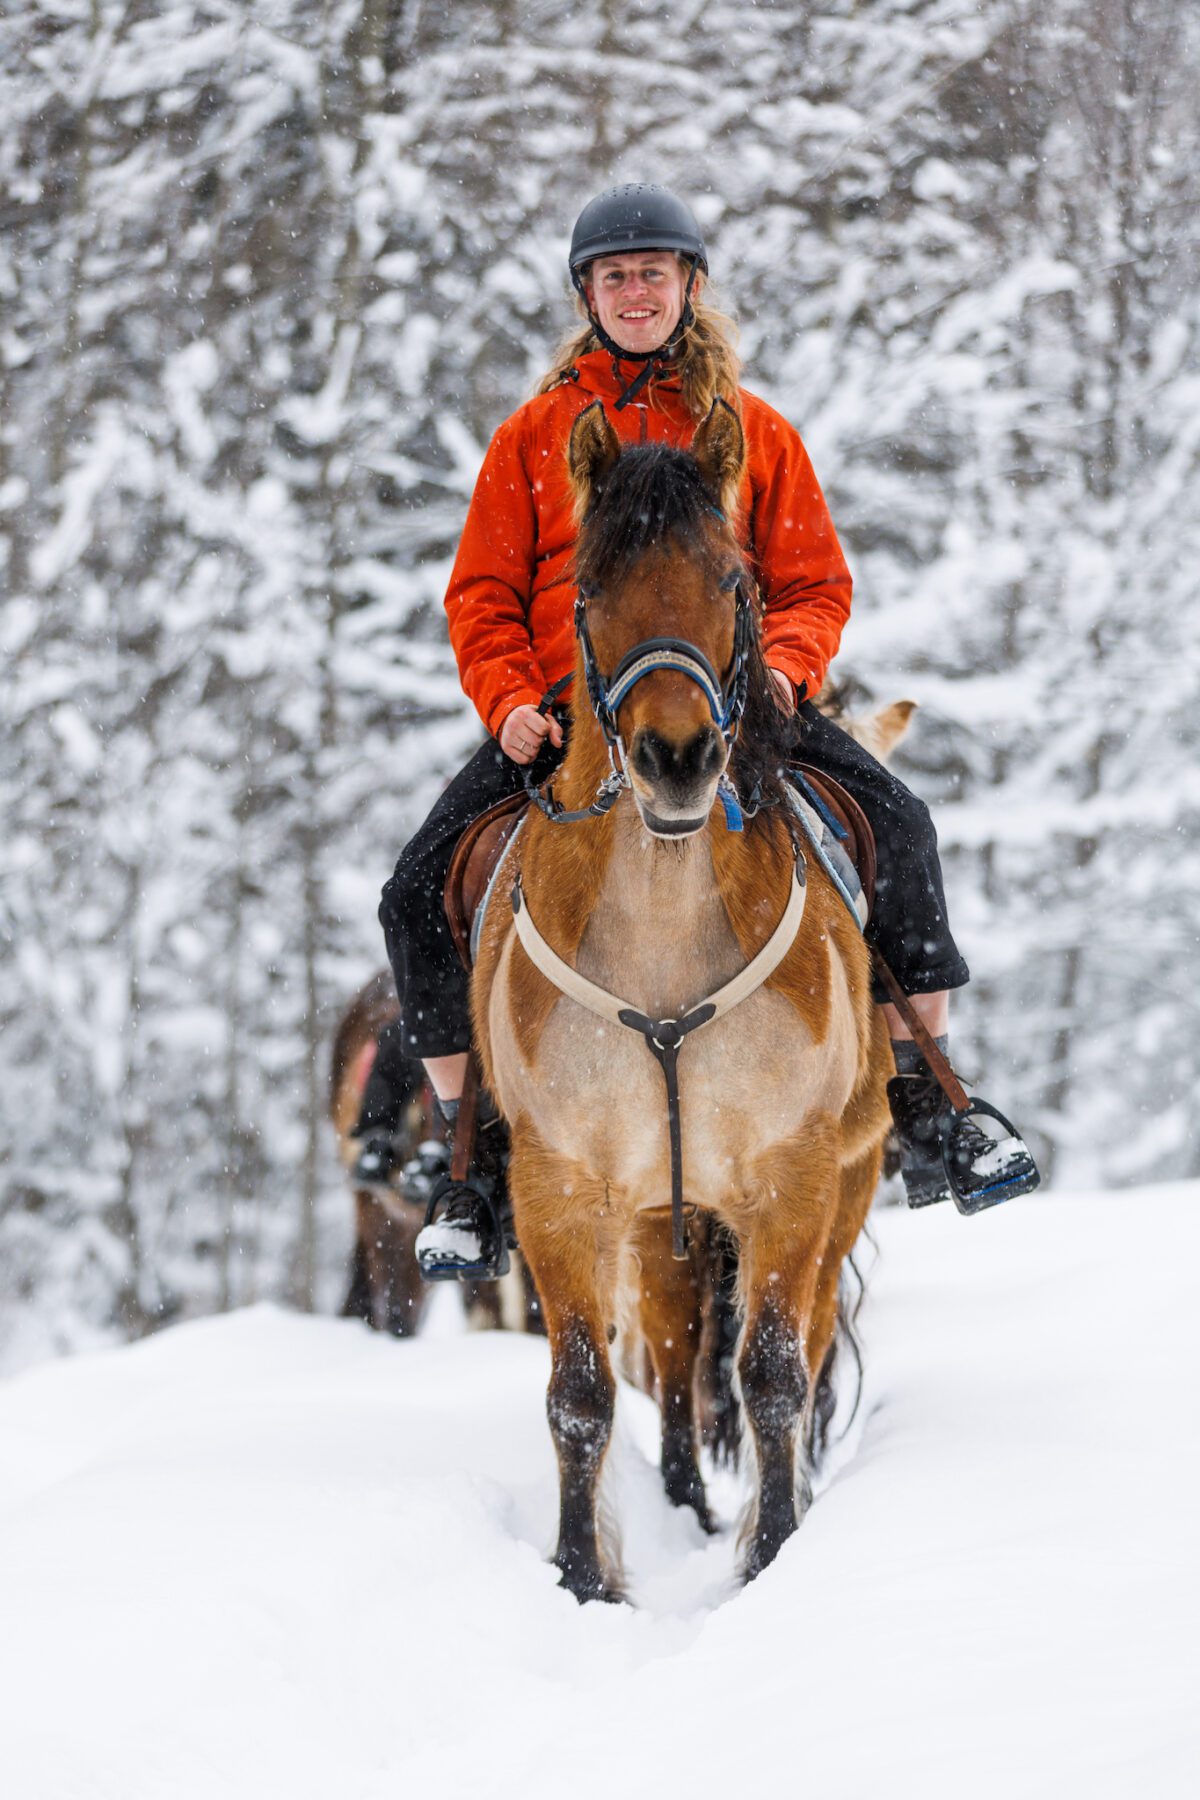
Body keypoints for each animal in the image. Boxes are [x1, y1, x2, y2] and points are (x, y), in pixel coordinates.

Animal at [474, 401, 895, 1598]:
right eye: (590, 586)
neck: (661, 935)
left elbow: (774, 1375)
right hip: (662, 1214)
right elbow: (581, 1395)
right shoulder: (560, 1190)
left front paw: (775, 1554)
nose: (677, 758)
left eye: (732, 580)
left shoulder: (794, 1180)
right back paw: (680, 1496)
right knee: (667, 1351)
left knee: (792, 1341)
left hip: (841, 1184)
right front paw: (582, 1577)